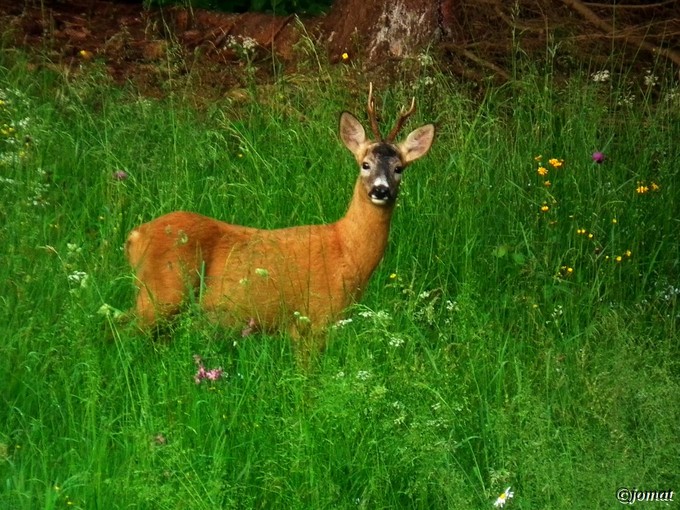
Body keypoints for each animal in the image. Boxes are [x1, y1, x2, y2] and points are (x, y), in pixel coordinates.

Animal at [126, 84, 436, 350]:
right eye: (365, 164)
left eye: (399, 168)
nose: (381, 190)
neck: (346, 250)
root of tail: (135, 235)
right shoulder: (311, 319)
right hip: (160, 295)